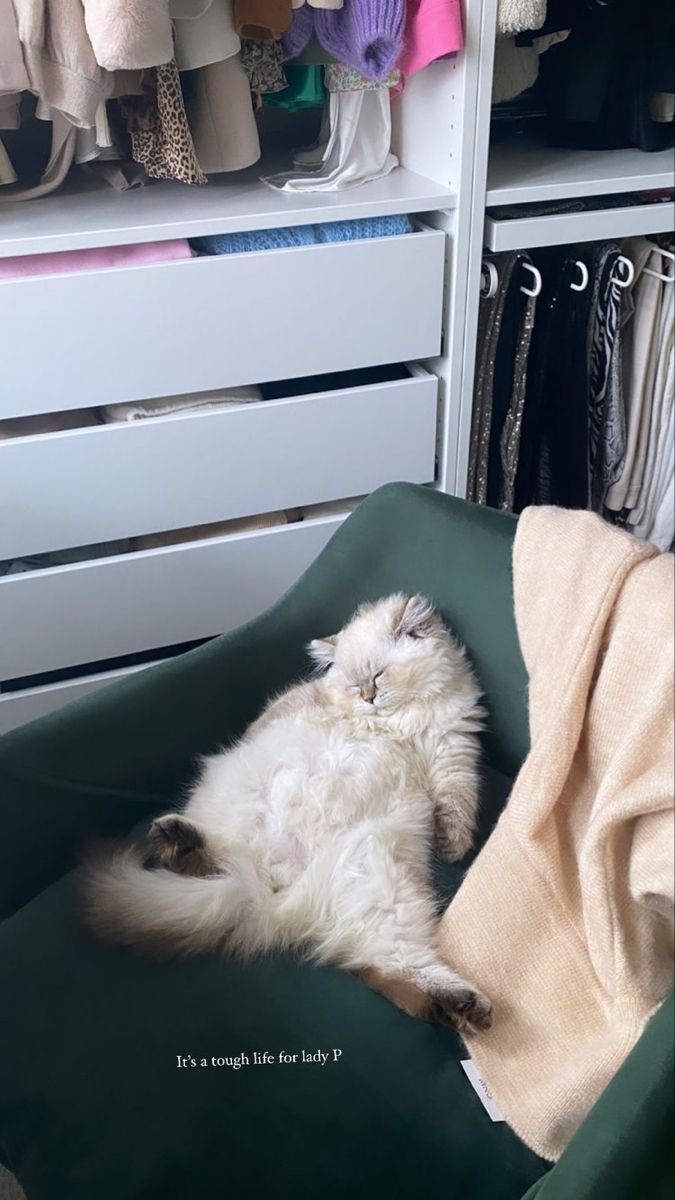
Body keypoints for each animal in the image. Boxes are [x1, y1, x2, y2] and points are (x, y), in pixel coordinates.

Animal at [84, 592, 492, 1032]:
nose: (368, 699)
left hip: (381, 883)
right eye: (355, 685)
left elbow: (456, 804)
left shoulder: (452, 750)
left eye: (378, 676)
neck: (400, 726)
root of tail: (279, 895)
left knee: (385, 970)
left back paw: (464, 1007)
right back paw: (179, 843)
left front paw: (451, 847)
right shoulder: (307, 703)